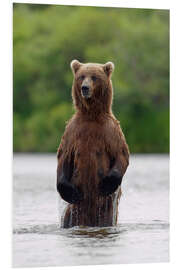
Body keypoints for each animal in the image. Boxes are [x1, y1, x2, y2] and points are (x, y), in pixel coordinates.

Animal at [57, 59, 129, 228]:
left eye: (94, 77)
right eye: (81, 76)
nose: (85, 87)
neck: (91, 115)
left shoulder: (111, 131)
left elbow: (121, 155)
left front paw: (106, 184)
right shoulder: (72, 132)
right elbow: (64, 157)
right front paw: (69, 192)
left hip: (106, 211)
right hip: (73, 211)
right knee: (68, 218)